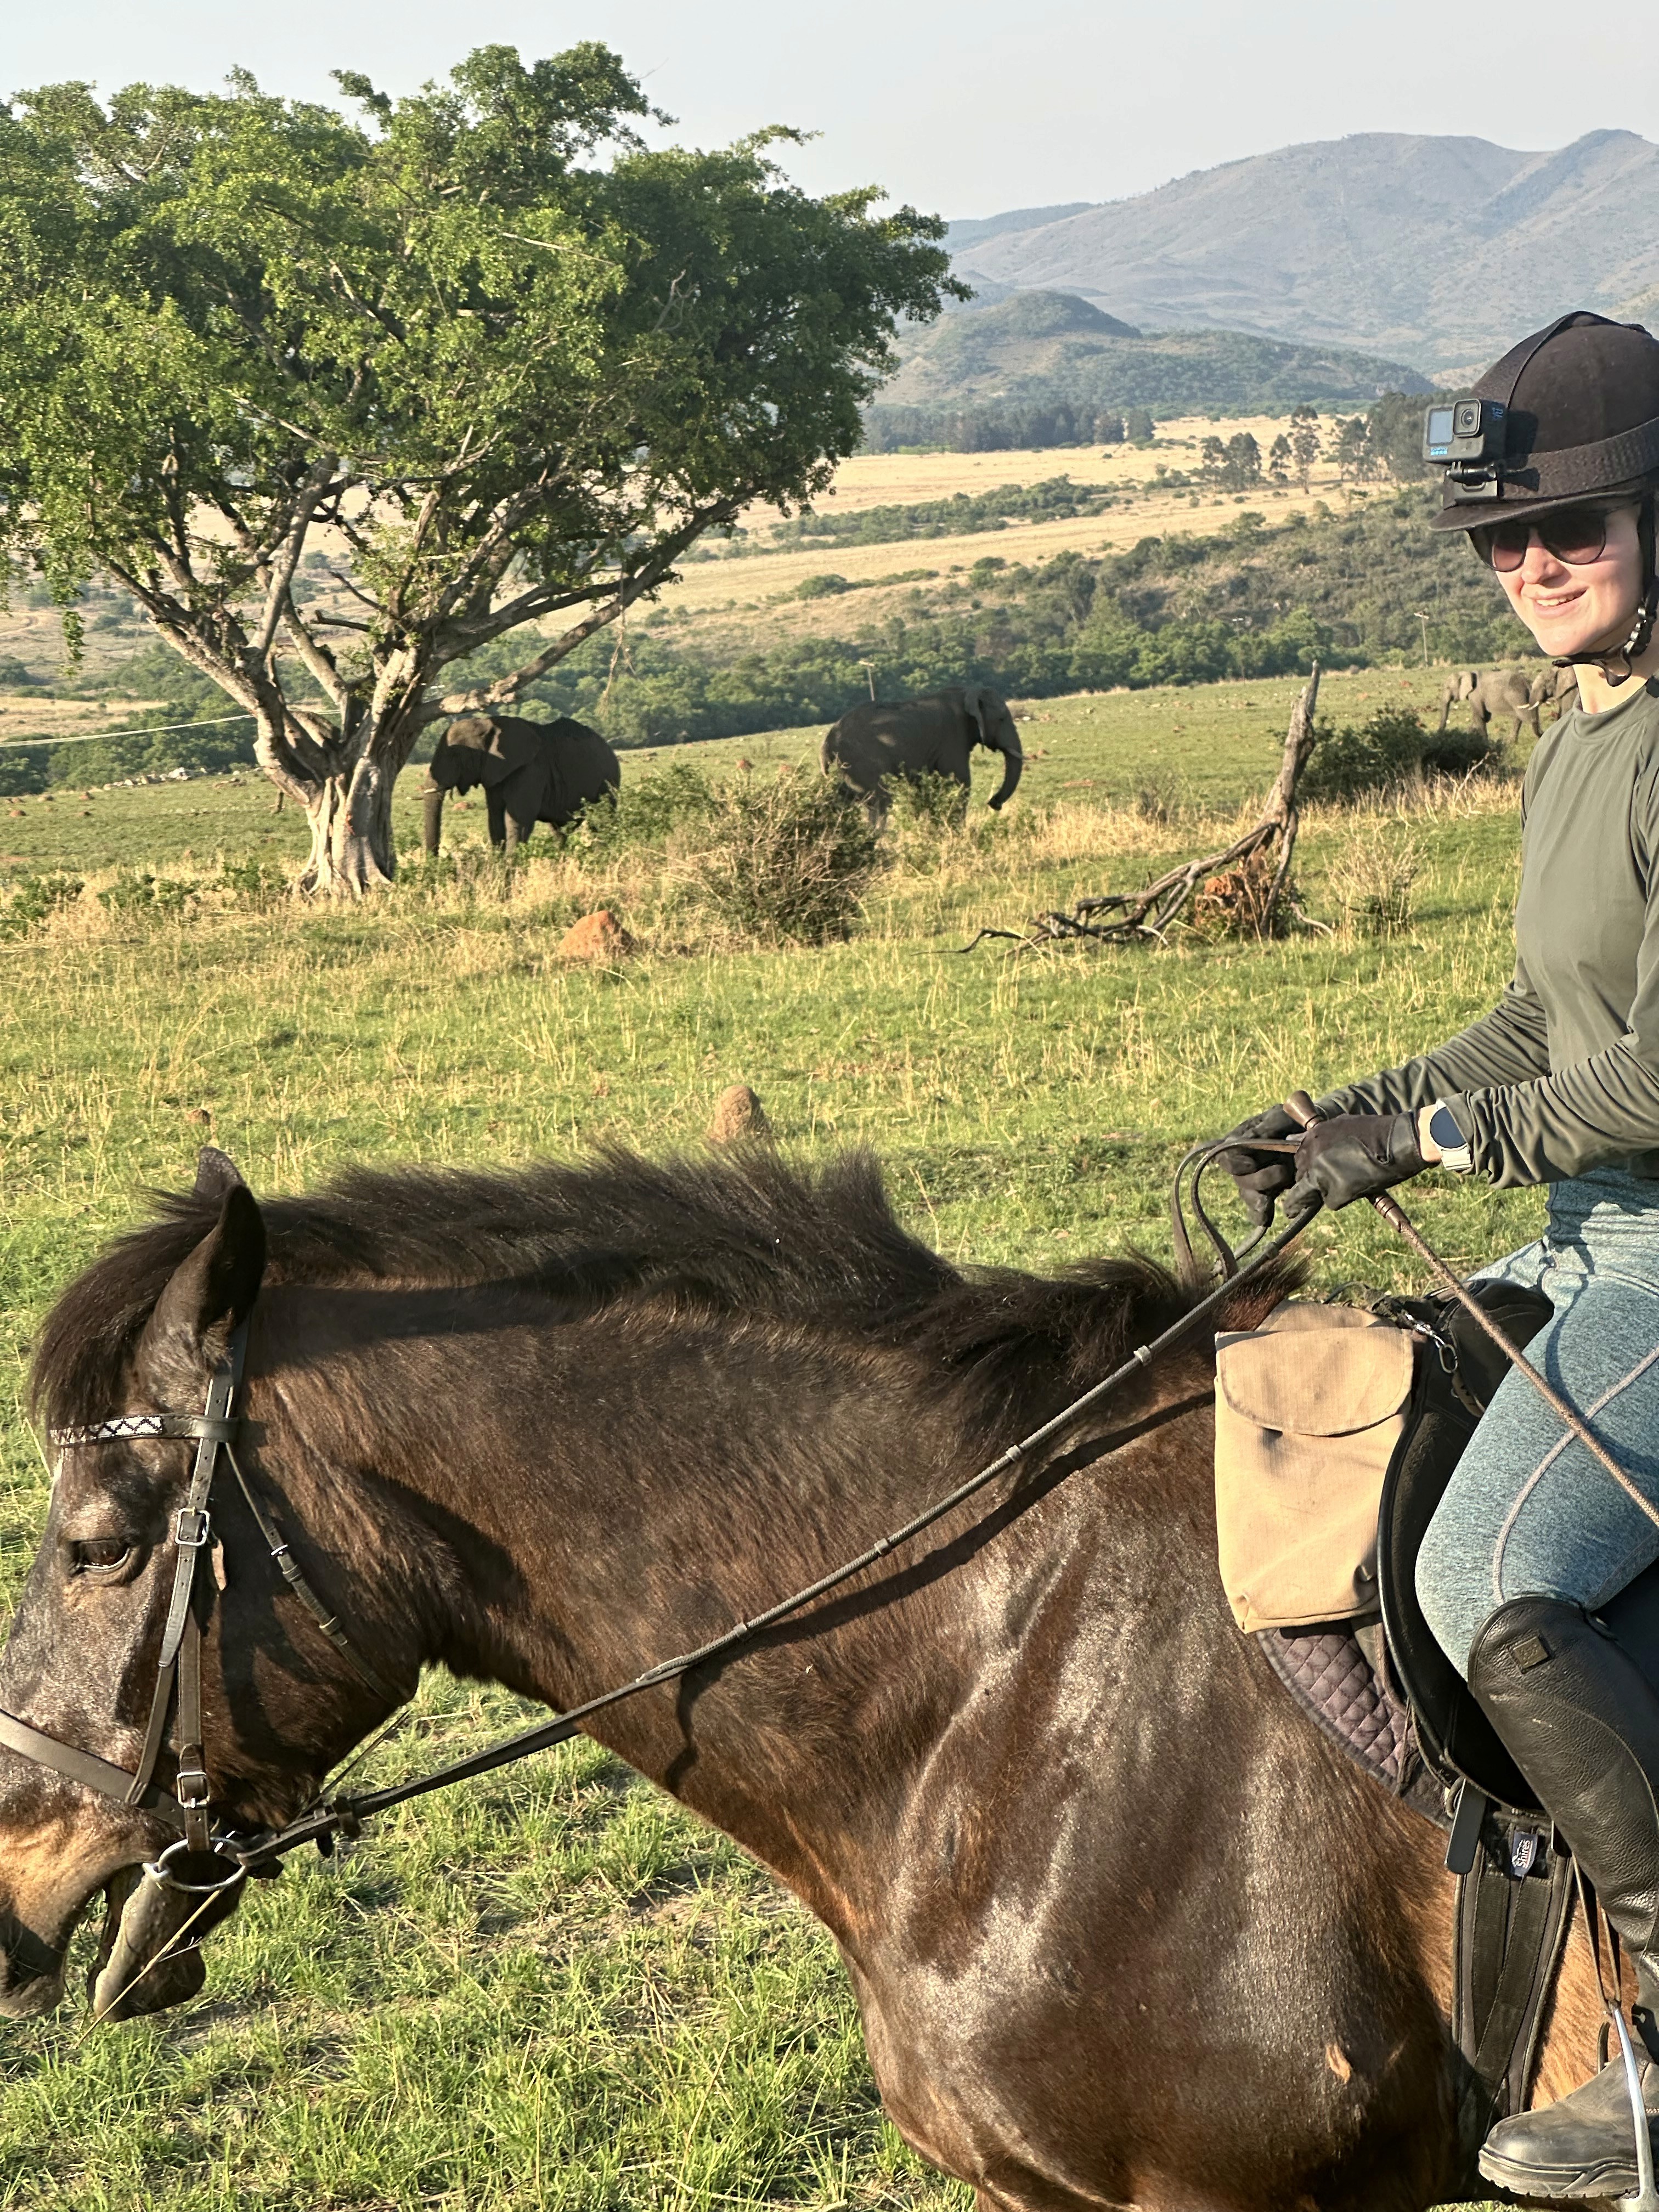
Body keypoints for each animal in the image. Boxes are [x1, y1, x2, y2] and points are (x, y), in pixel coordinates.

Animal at [421, 713, 620, 857]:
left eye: (455, 756)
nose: (436, 861)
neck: (487, 724)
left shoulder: (530, 770)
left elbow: (518, 819)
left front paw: (511, 865)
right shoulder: (494, 775)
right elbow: (495, 819)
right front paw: (498, 863)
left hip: (608, 782)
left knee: (602, 822)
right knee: (559, 831)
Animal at [820, 685, 1023, 823]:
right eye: (1002, 719)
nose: (994, 803)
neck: (967, 691)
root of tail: (828, 741)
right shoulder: (953, 740)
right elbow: (960, 783)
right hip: (860, 761)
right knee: (880, 800)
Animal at [1436, 667, 1541, 746]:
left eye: (1448, 688)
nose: (1440, 737)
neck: (1466, 673)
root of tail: (1527, 682)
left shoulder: (1475, 695)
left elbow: (1480, 717)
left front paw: (1485, 744)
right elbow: (1483, 717)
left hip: (1517, 696)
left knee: (1527, 717)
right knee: (1520, 717)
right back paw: (1512, 743)